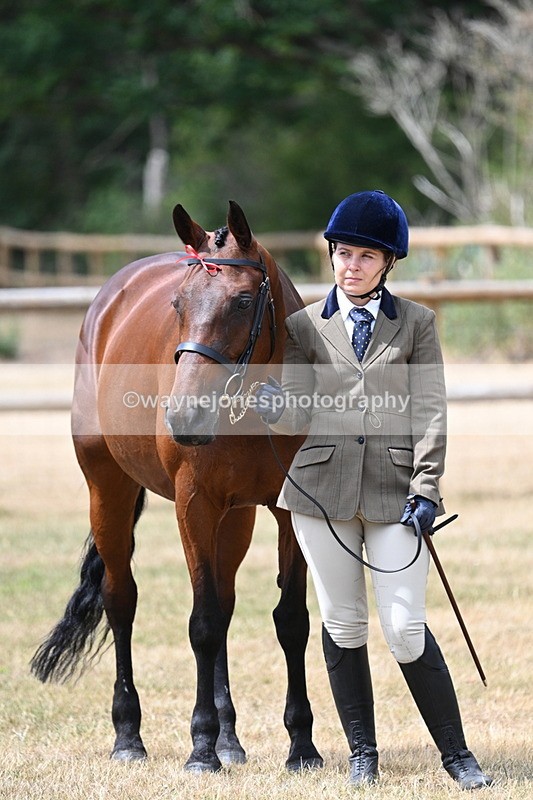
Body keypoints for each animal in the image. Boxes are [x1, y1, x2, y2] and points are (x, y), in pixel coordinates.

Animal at [30, 200, 323, 774]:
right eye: (178, 304)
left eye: (243, 300)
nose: (184, 416)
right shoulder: (194, 506)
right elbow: (202, 623)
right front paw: (201, 748)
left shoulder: (286, 510)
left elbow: (289, 621)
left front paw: (301, 746)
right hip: (108, 491)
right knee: (121, 599)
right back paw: (129, 737)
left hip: (236, 517)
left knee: (226, 601)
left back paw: (231, 740)